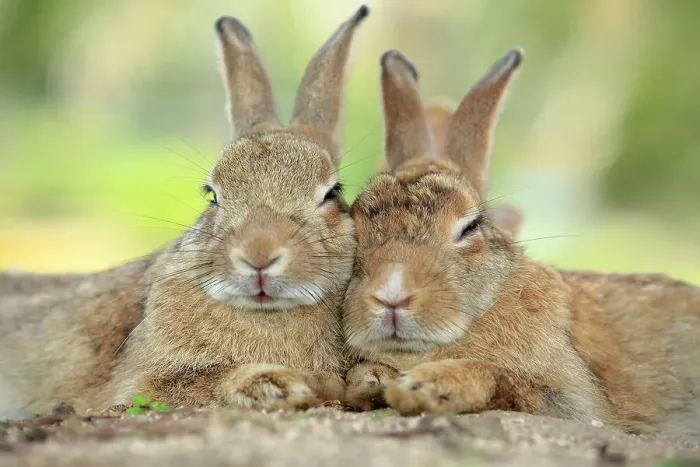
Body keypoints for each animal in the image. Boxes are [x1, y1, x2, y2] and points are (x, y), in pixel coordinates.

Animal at [0, 5, 370, 419]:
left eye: (332, 194)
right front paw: (282, 384)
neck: (267, 313)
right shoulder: (144, 383)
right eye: (212, 196)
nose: (258, 255)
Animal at [342, 48, 700, 435]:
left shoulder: (571, 399)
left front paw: (427, 386)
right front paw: (370, 381)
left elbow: (502, 379)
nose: (392, 295)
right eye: (355, 223)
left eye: (470, 227)